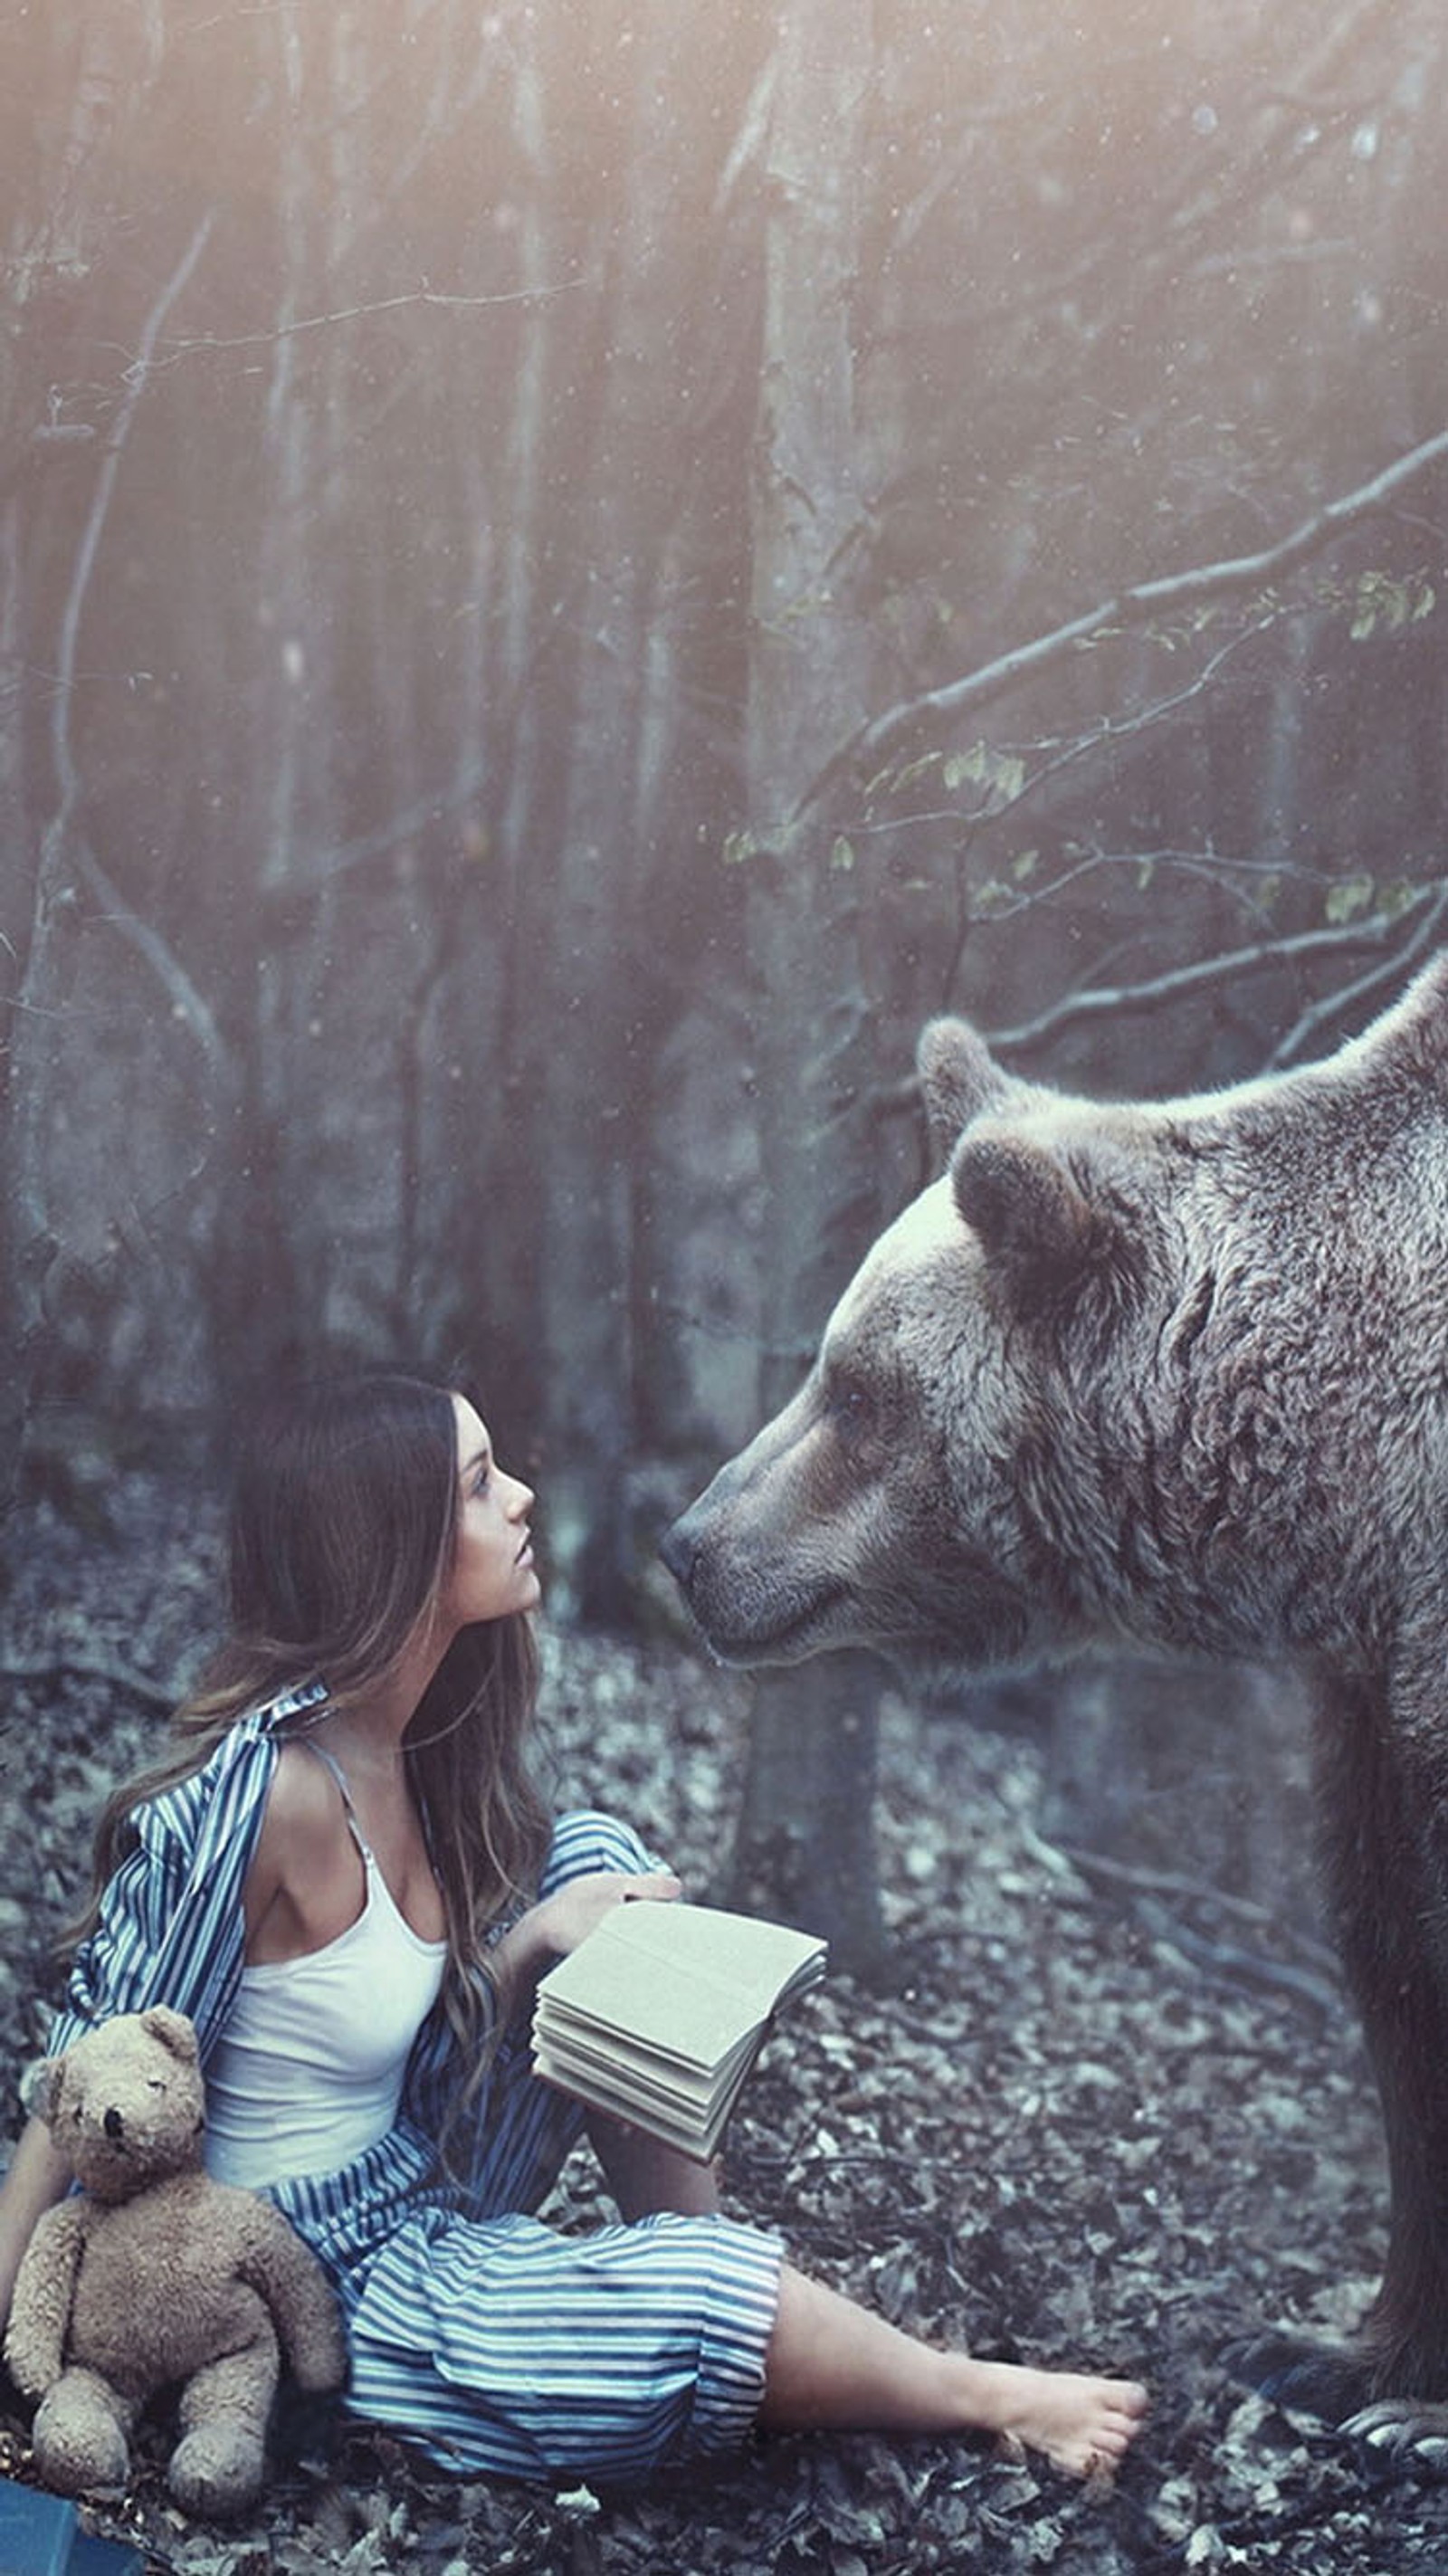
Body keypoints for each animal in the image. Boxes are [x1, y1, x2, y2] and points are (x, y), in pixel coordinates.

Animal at [664, 953, 1448, 2452]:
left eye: (858, 1388)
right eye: (830, 1360)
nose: (692, 1544)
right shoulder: (1376, 1676)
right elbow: (1398, 1954)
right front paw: (1344, 2356)